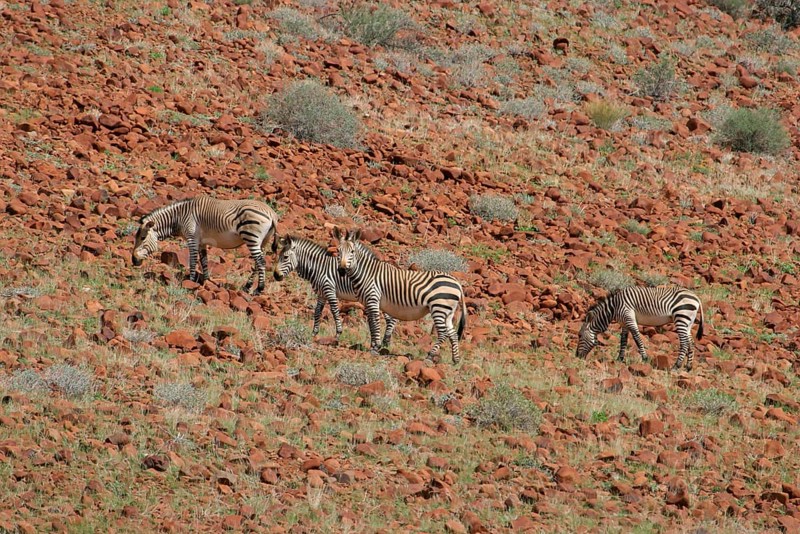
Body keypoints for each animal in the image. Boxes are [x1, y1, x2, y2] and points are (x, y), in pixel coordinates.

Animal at [132, 195, 279, 295]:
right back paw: (247, 286)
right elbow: (204, 261)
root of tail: (272, 213)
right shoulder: (201, 242)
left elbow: (192, 261)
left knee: (261, 262)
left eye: (142, 238)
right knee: (257, 263)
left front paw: (190, 282)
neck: (179, 217)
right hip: (262, 241)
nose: (133, 260)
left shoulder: (192, 239)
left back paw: (259, 289)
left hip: (251, 237)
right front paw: (206, 281)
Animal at [334, 227, 467, 363]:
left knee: (443, 333)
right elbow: (371, 324)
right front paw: (373, 346)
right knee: (452, 333)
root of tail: (457, 283)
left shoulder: (373, 299)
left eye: (352, 251)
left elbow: (375, 324)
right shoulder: (367, 302)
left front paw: (375, 348)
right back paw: (455, 360)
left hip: (439, 307)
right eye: (338, 250)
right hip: (448, 312)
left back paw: (430, 356)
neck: (367, 273)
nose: (341, 270)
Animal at [576, 286, 705, 371]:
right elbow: (623, 341)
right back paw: (688, 367)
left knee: (684, 343)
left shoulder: (629, 317)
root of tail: (696, 297)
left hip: (681, 317)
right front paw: (619, 359)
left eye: (579, 335)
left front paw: (645, 358)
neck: (614, 307)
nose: (577, 356)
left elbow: (637, 338)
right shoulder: (624, 323)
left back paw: (676, 366)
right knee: (691, 342)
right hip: (688, 322)